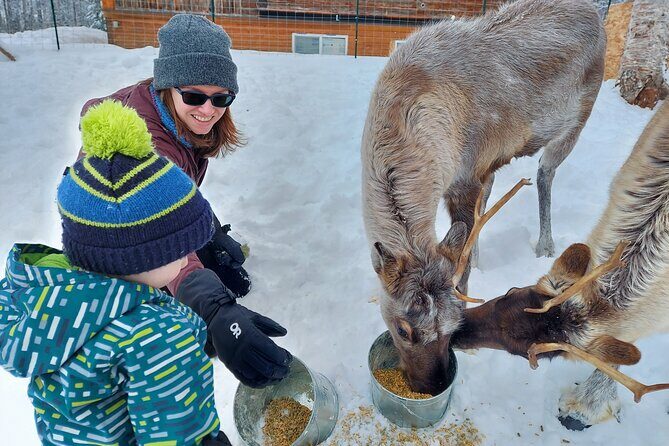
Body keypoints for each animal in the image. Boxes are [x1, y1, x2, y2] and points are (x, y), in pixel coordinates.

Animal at [361, 0, 605, 395]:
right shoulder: (474, 171)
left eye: (454, 327)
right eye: (402, 329)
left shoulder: (466, 174)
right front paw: (474, 257)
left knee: (545, 173)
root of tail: (595, 12)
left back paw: (545, 243)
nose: (434, 384)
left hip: (575, 122)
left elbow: (462, 268)